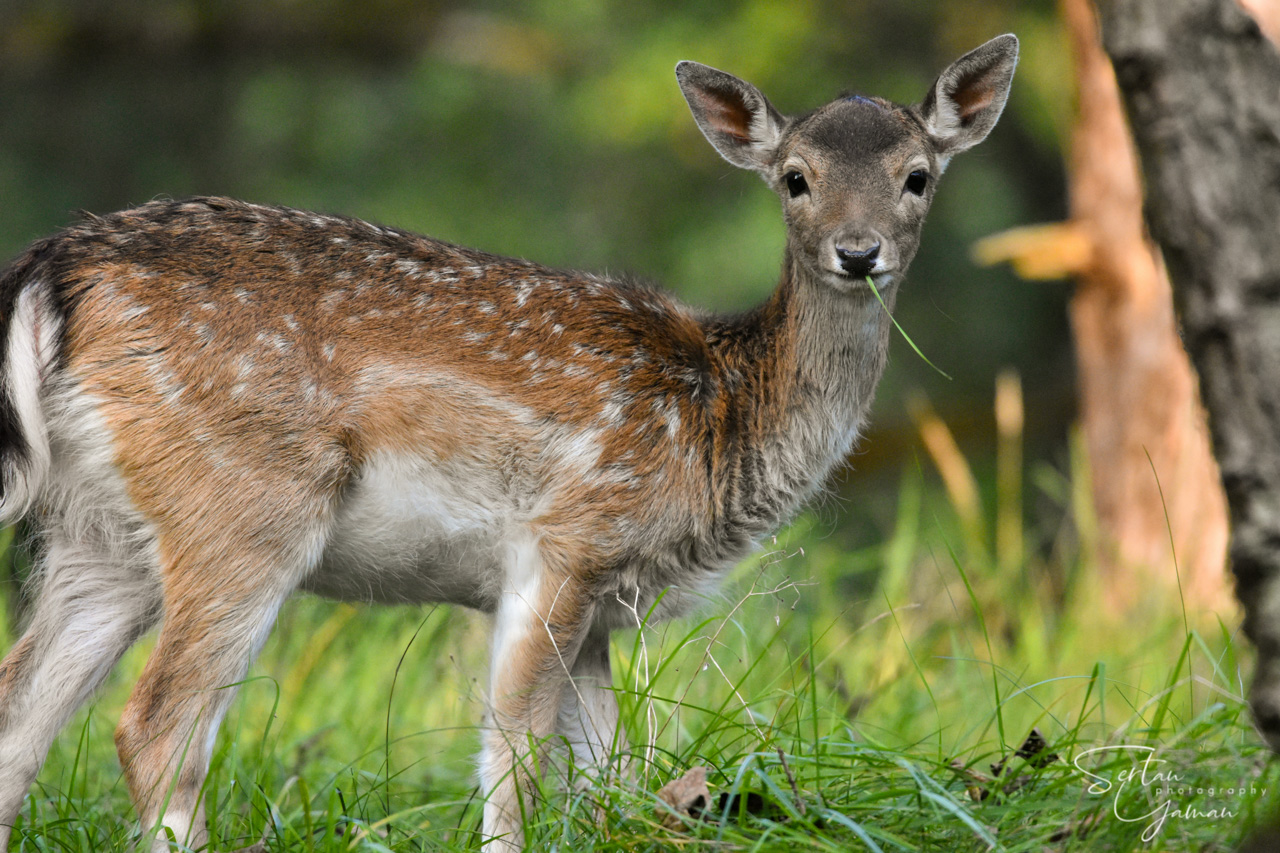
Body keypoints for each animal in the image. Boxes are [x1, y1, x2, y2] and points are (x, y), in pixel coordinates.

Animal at [0, 35, 1017, 851]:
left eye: (918, 176)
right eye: (794, 178)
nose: (858, 251)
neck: (721, 418)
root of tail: (55, 266)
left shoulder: (609, 603)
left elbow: (612, 774)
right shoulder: (563, 539)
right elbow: (513, 755)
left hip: (100, 536)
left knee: (20, 717)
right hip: (244, 502)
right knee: (155, 722)